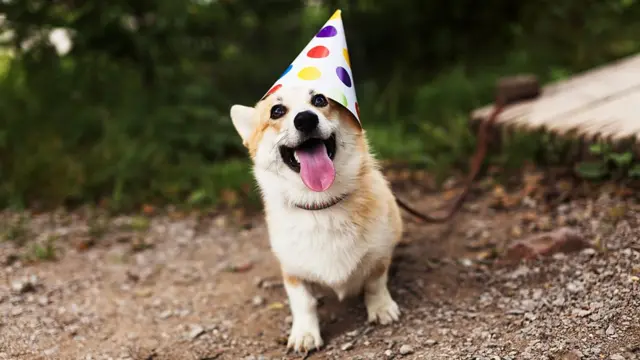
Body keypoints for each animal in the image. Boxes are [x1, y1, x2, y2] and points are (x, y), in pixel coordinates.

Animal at [228, 86, 402, 352]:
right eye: (277, 111)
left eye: (319, 100)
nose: (305, 119)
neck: (321, 205)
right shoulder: (292, 272)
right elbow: (303, 303)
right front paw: (305, 334)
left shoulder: (379, 254)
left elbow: (375, 283)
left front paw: (382, 308)